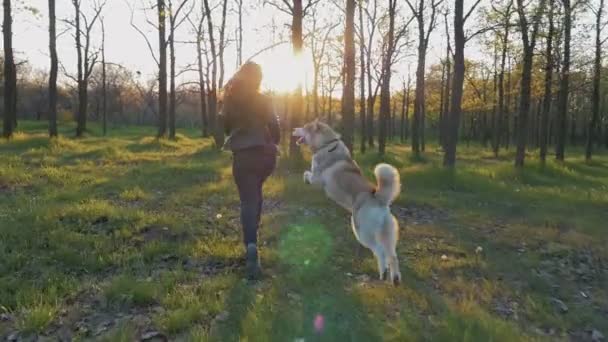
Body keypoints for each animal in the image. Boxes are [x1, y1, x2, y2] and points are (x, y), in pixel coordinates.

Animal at [292, 119, 402, 284]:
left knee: (379, 251)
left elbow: (307, 173)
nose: (293, 129)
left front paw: (305, 179)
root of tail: (379, 199)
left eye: (304, 128)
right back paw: (394, 279)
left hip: (361, 230)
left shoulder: (317, 179)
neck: (326, 145)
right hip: (387, 233)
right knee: (392, 255)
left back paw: (383, 273)